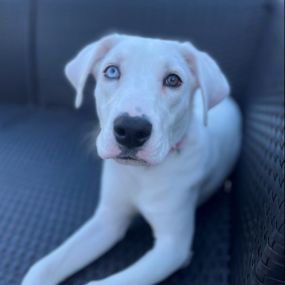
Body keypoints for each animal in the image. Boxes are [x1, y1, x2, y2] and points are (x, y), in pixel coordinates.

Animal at [21, 34, 240, 284]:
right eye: (112, 71)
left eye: (173, 80)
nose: (132, 130)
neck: (141, 174)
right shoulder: (108, 220)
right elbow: (44, 266)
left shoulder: (172, 248)